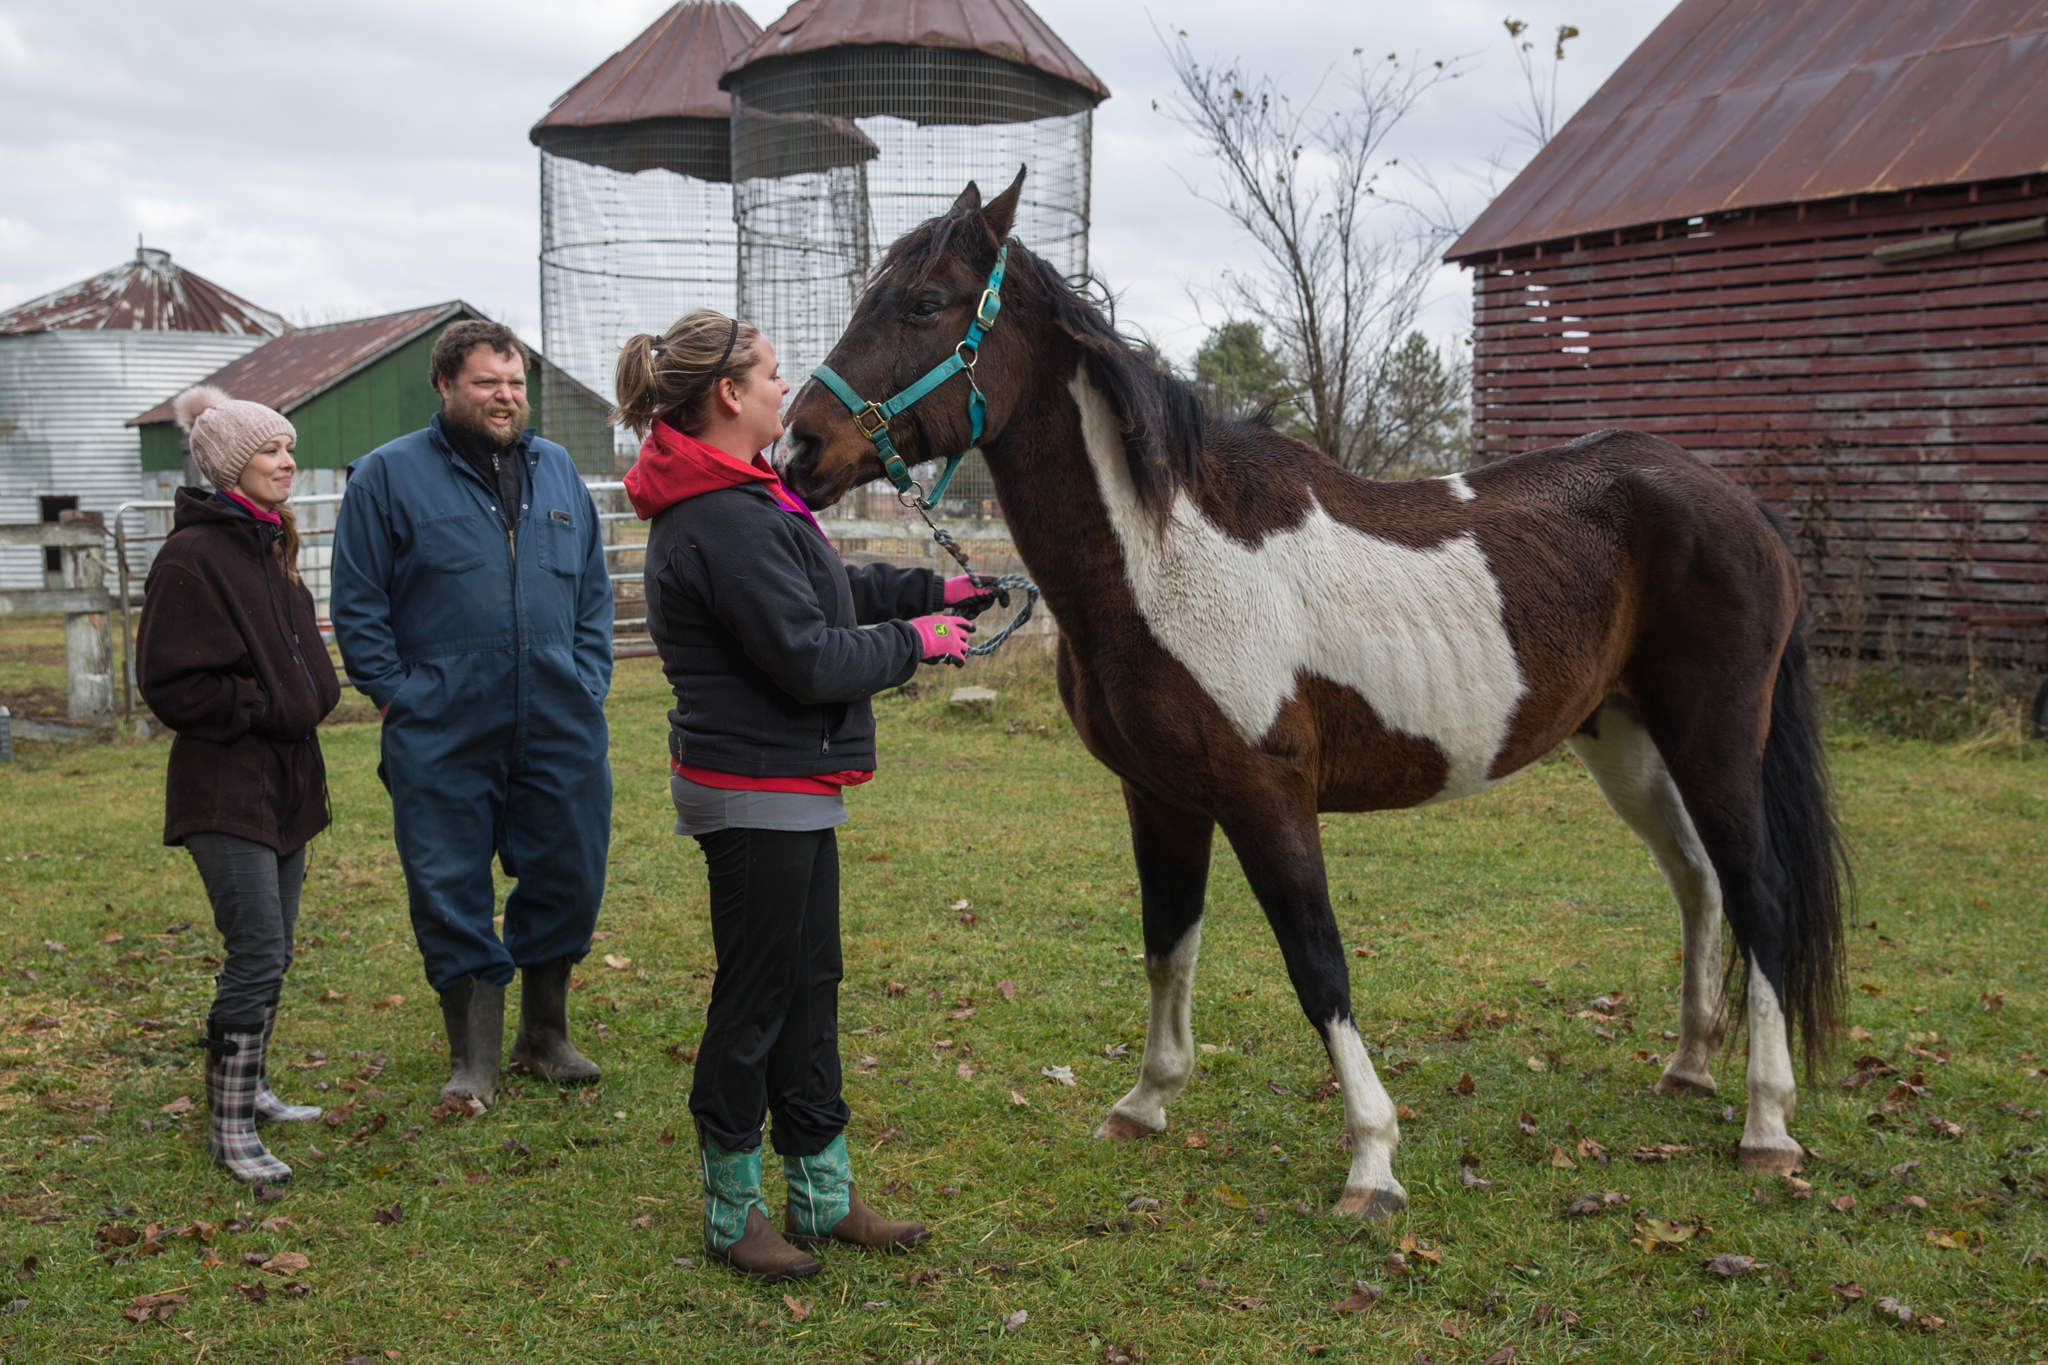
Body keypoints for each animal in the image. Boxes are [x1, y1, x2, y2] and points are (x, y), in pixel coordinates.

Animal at [779, 170, 1847, 1219]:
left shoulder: (1269, 797)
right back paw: (1689, 1066)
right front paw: (1146, 1100)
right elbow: (1167, 944)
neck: (1166, 558)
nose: (797, 449)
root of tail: (1739, 504)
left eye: (924, 304)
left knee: (1758, 894)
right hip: (1622, 739)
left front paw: (1372, 1160)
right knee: (1698, 880)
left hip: (1714, 741)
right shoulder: (1160, 798)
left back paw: (1767, 1125)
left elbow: (1316, 963)